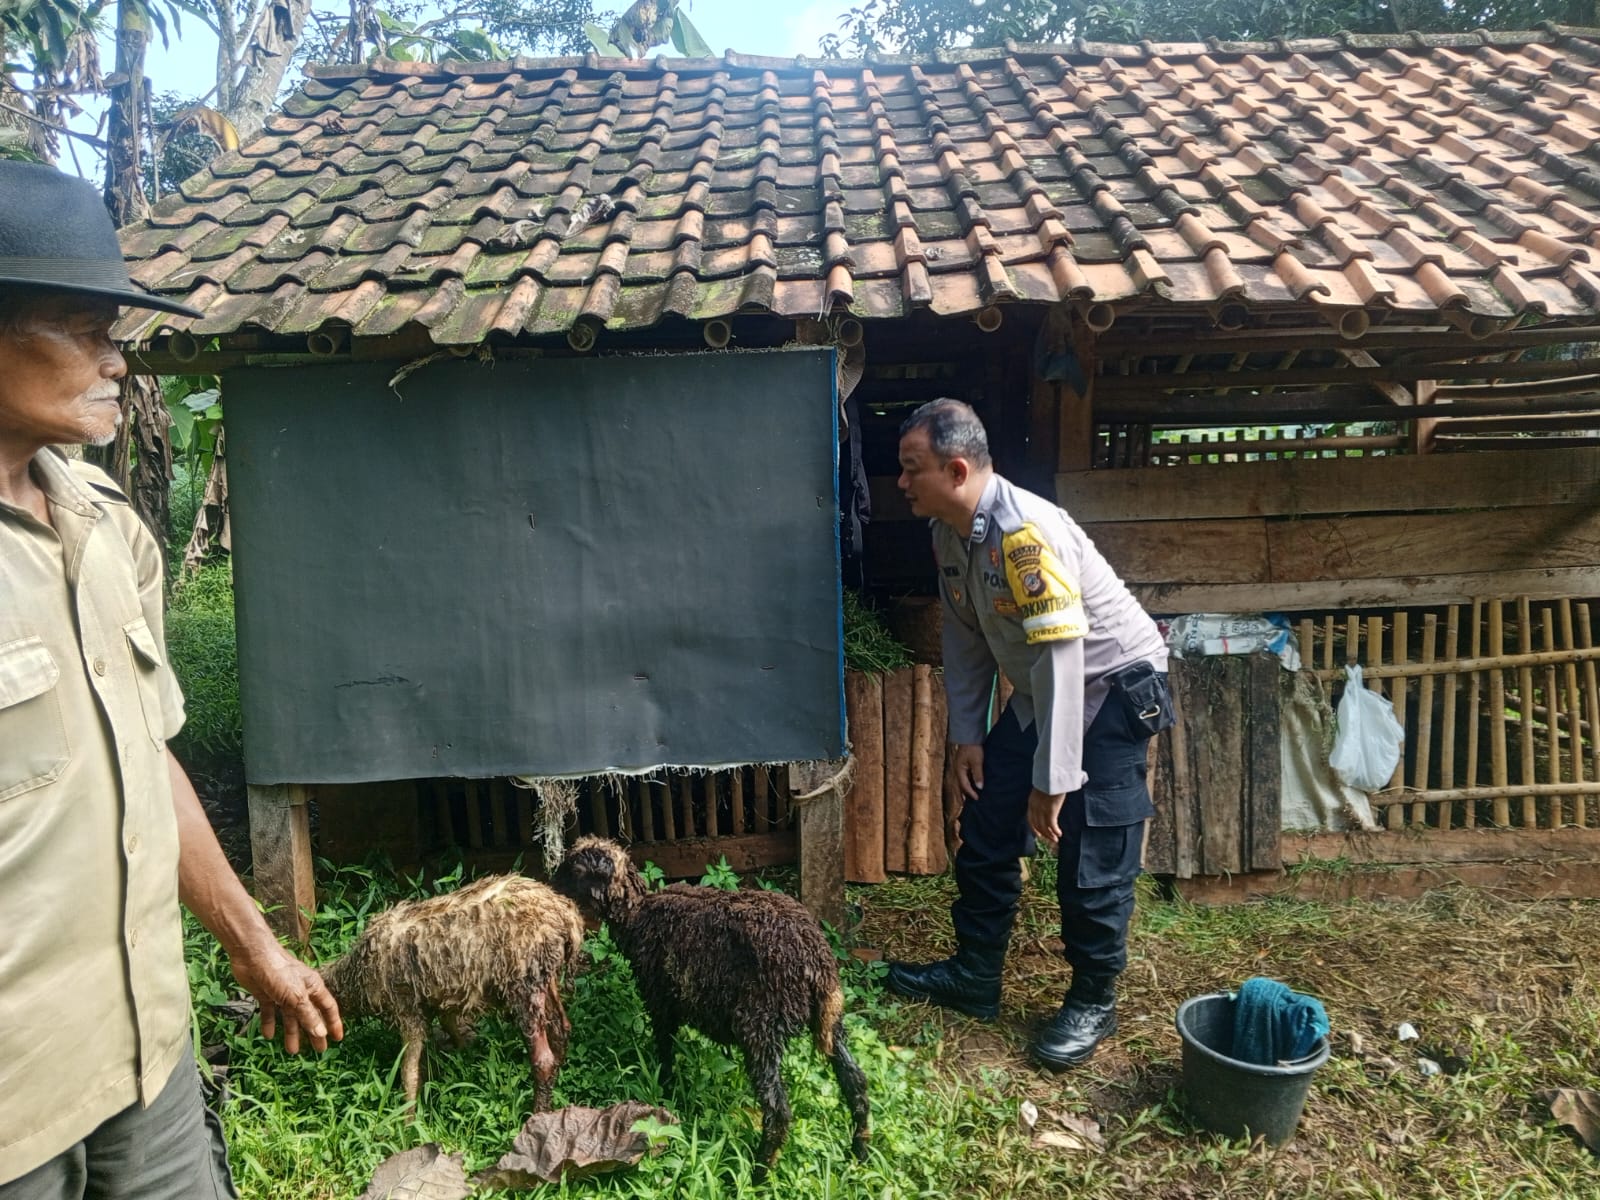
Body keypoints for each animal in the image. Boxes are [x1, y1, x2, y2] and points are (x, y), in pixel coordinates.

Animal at [319, 873, 585, 1115]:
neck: (355, 977)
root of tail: (565, 915)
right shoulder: (438, 1000)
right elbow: (449, 1026)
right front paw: (465, 1050)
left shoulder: (406, 1008)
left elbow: (408, 1072)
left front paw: (407, 1121)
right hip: (545, 975)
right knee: (561, 1029)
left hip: (524, 981)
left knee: (543, 1060)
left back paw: (538, 1112)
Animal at [551, 836, 870, 1169]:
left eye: (576, 869)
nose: (550, 886)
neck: (639, 916)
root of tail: (814, 959)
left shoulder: (660, 1000)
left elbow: (664, 1047)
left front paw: (666, 1087)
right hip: (831, 1021)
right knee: (856, 1083)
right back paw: (859, 1154)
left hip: (760, 1026)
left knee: (778, 1111)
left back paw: (759, 1171)